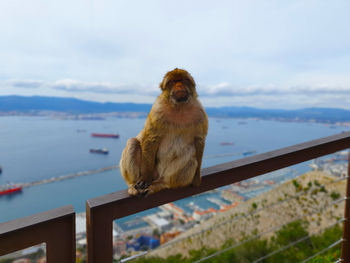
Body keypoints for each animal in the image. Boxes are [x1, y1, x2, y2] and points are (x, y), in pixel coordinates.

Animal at [120, 68, 208, 196]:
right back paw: (132, 184)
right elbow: (151, 138)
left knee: (191, 157)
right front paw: (145, 178)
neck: (180, 107)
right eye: (172, 81)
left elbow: (199, 141)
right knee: (133, 142)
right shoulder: (157, 110)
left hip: (165, 173)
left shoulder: (200, 113)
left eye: (184, 80)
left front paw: (197, 178)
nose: (179, 85)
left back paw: (162, 184)